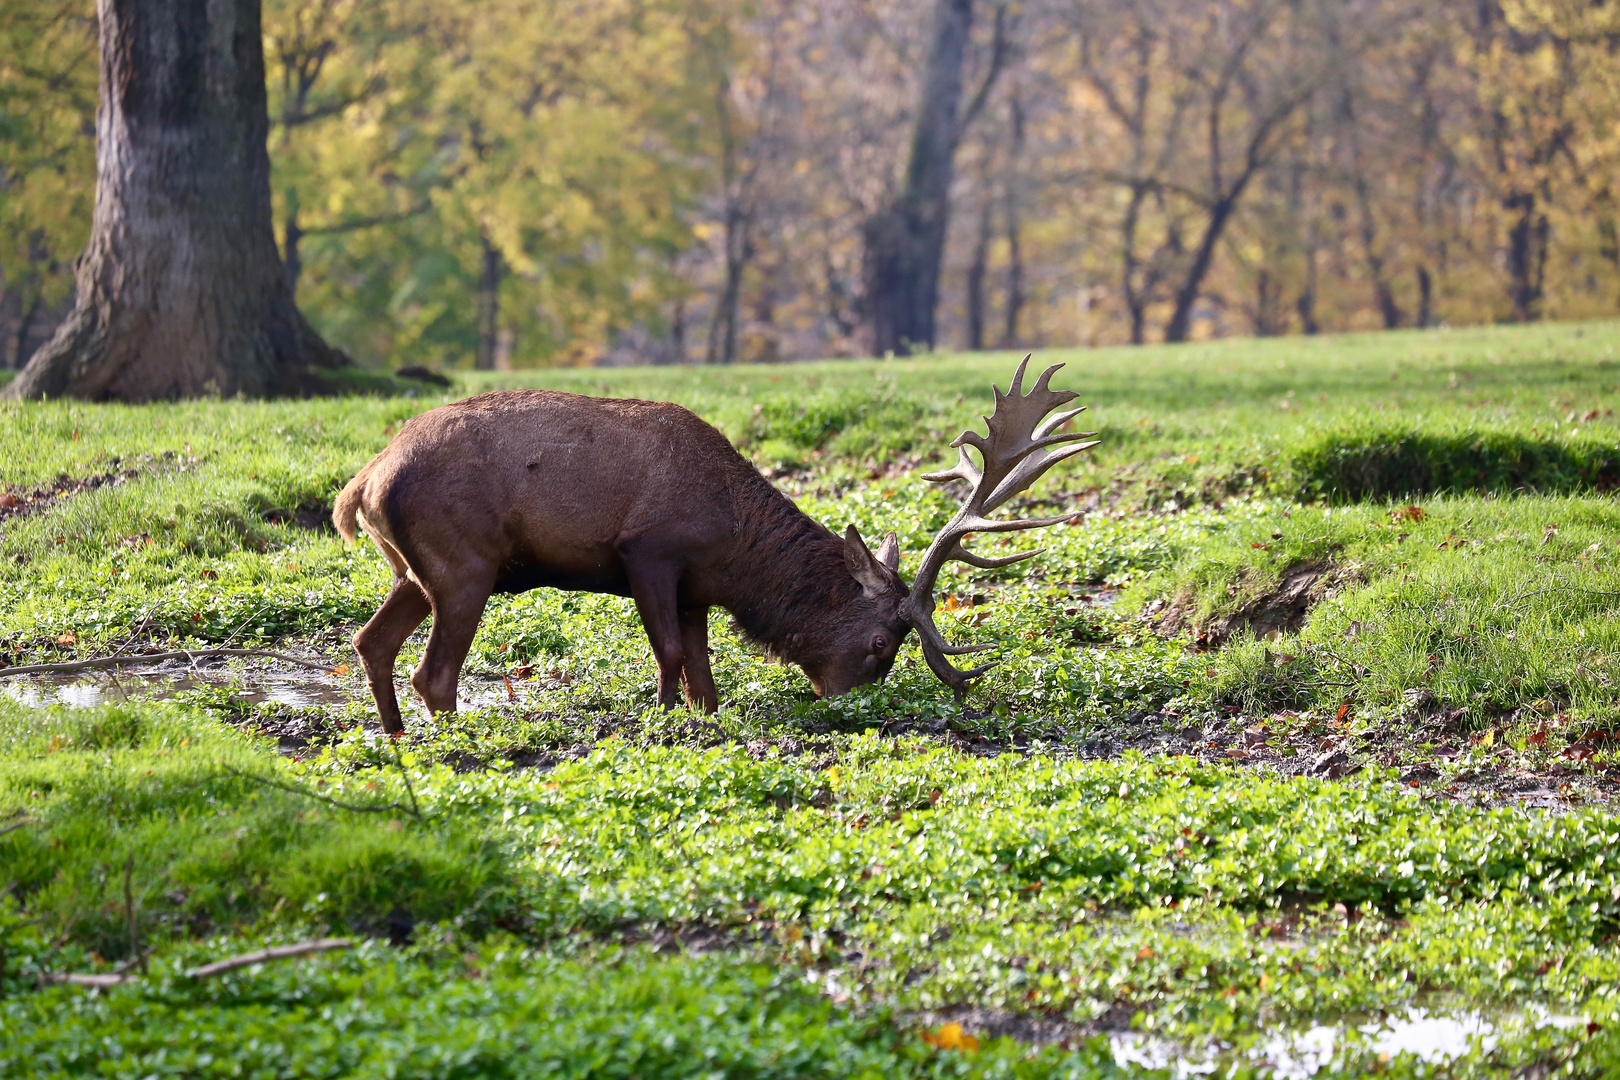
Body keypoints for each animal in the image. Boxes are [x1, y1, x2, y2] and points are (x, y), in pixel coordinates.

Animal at [332, 356, 1101, 735]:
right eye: (883, 642)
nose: (845, 707)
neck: (734, 549)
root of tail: (364, 482)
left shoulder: (696, 588)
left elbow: (705, 677)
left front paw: (693, 713)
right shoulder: (648, 552)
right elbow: (671, 655)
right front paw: (661, 716)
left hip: (416, 570)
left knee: (372, 641)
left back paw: (394, 736)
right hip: (465, 562)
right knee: (433, 673)